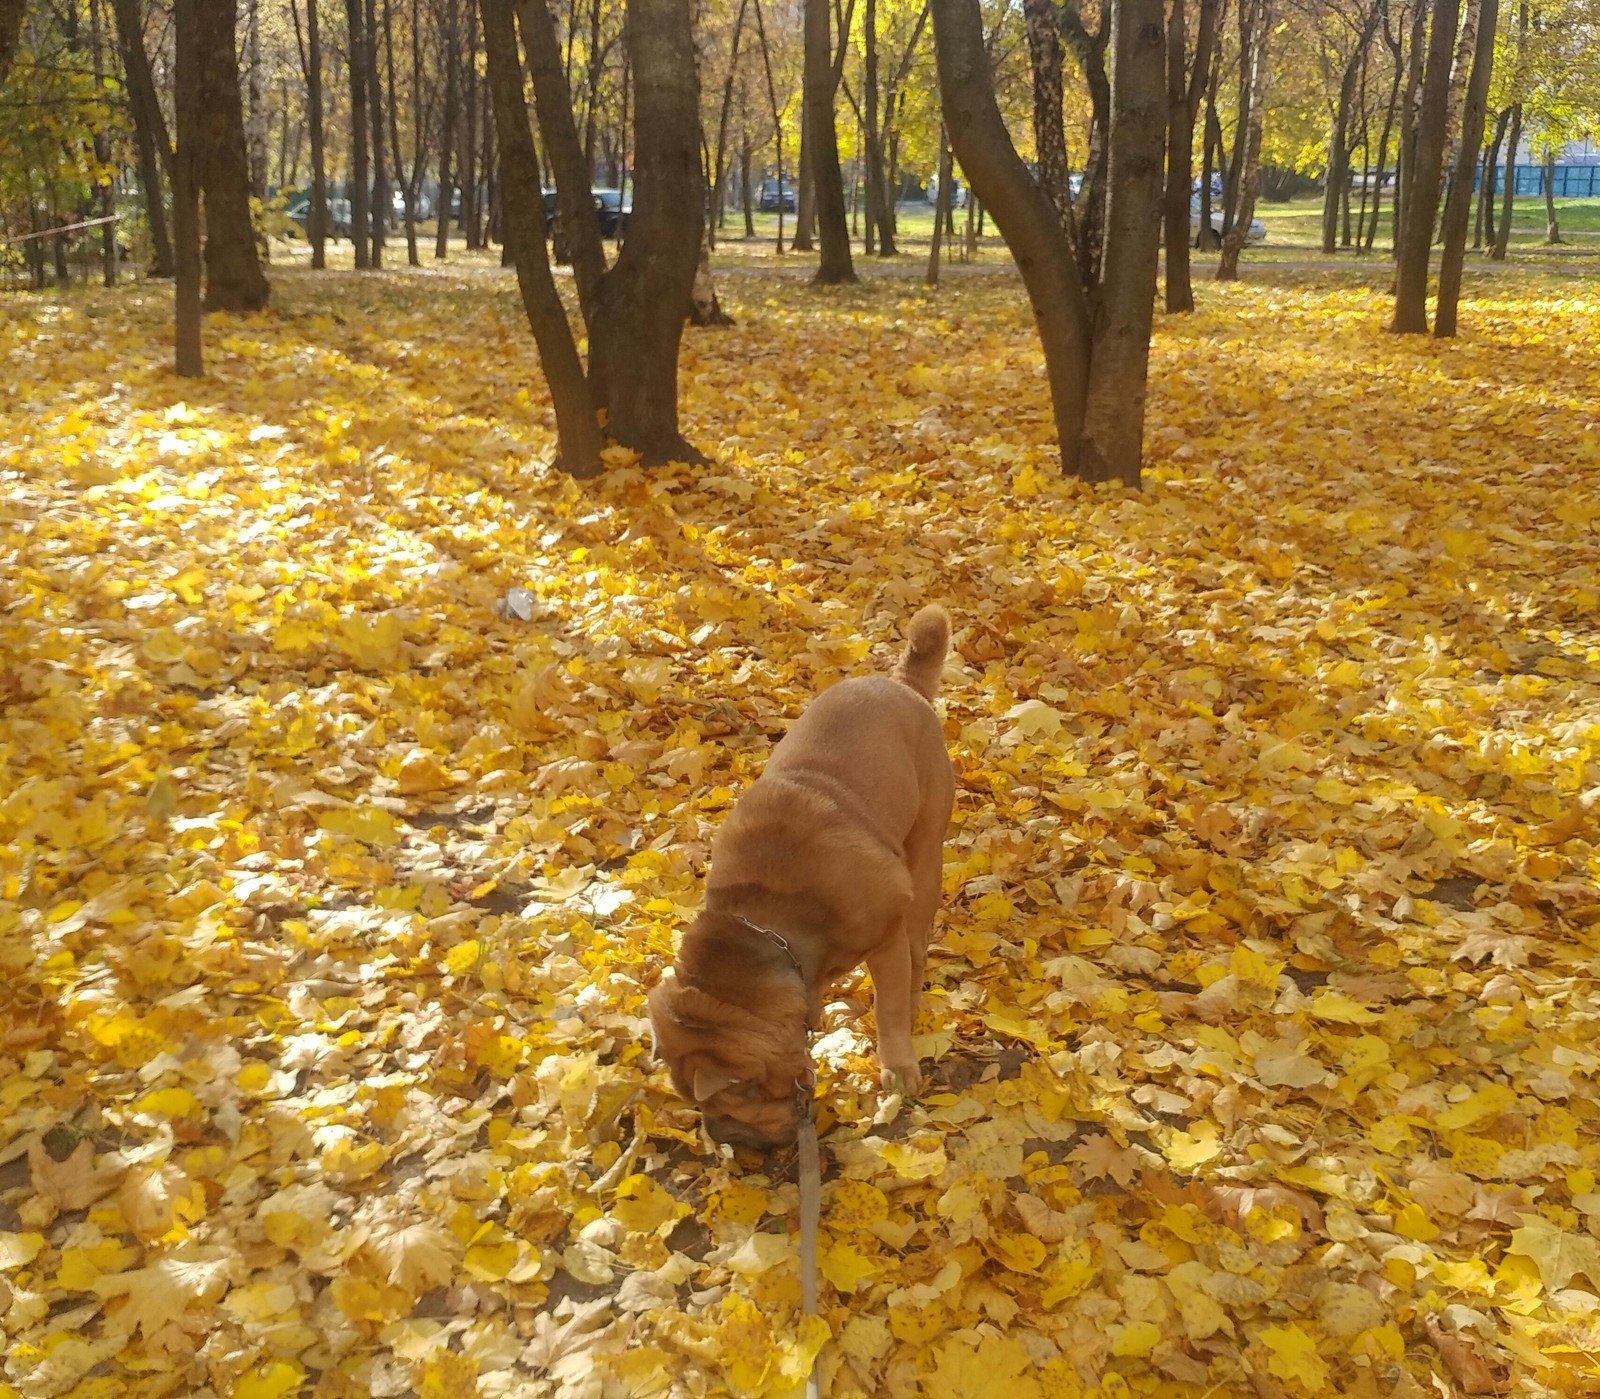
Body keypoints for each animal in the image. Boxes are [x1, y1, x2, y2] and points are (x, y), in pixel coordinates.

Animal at [646, 605, 953, 1152]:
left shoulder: (886, 940)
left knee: (918, 948)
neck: (767, 921)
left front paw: (897, 1069)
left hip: (924, 858)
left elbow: (889, 1008)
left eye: (734, 1102)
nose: (725, 1142)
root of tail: (902, 685)